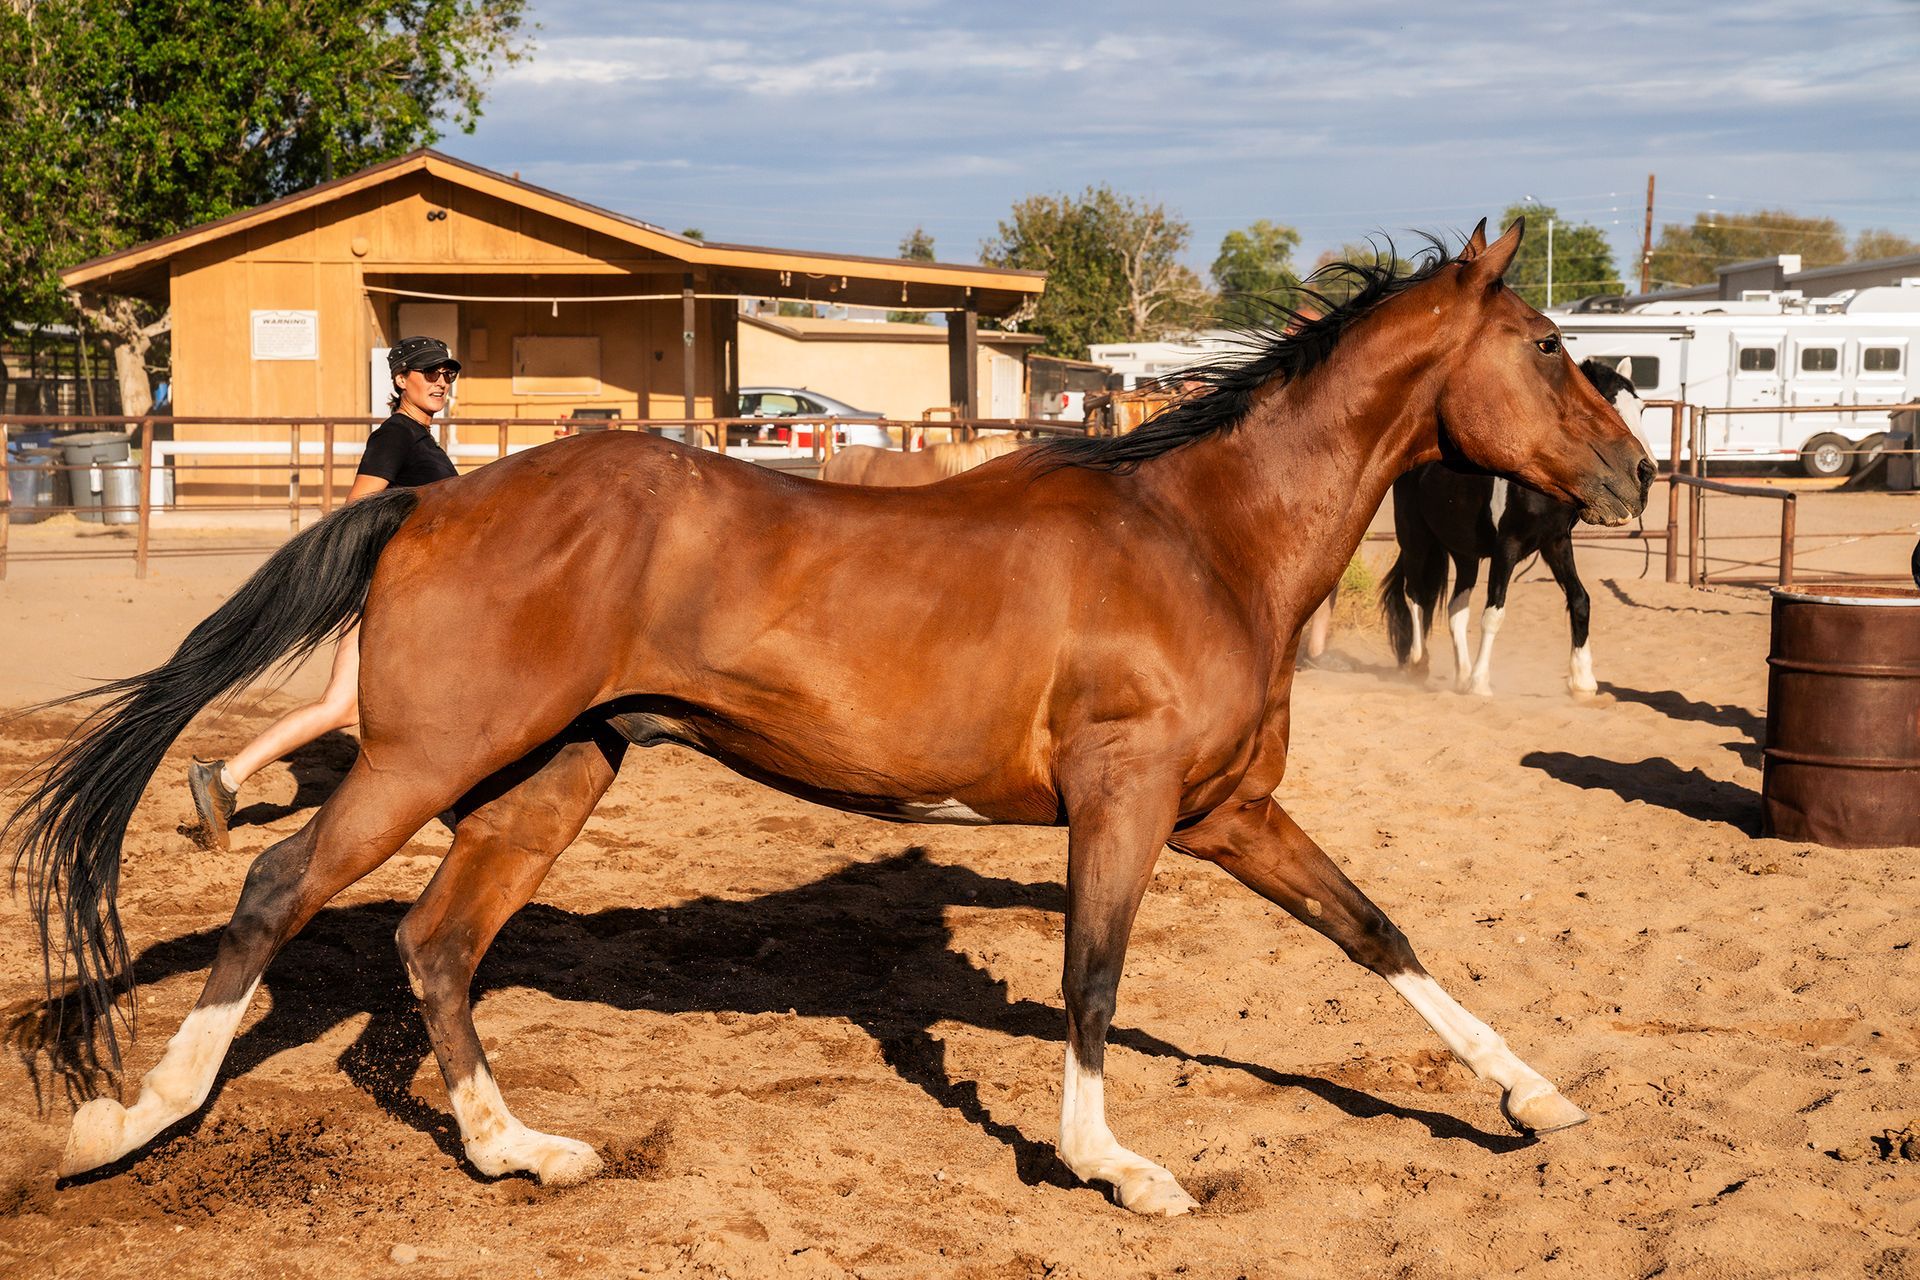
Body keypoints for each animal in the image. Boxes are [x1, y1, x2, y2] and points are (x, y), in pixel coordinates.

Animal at [1380, 358, 1642, 697]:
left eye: (1641, 407)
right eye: (1609, 407)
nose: (1647, 471)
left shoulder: (1556, 542)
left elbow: (1580, 599)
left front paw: (1583, 681)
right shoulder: (1507, 546)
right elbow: (1493, 613)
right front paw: (1481, 684)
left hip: (1465, 555)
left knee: (1455, 609)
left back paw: (1461, 675)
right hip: (1415, 539)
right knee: (1415, 595)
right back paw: (1419, 663)